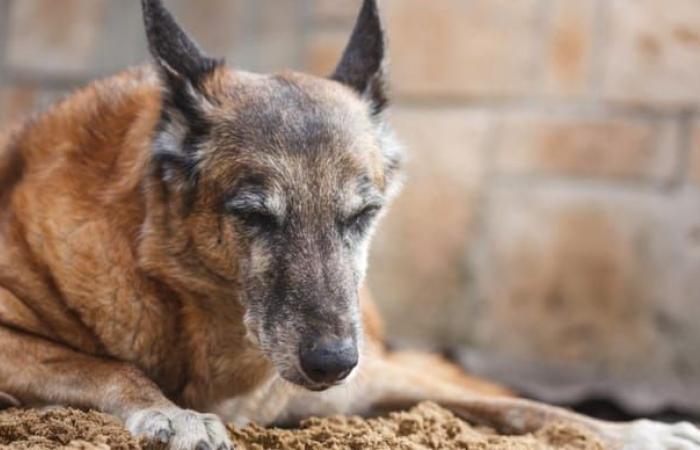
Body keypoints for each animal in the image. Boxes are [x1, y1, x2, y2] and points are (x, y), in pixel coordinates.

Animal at [1, 0, 700, 450]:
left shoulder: (368, 382)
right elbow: (110, 368)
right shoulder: (14, 336)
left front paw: (638, 430)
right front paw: (170, 414)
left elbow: (521, 405)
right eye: (253, 216)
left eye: (364, 215)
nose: (333, 364)